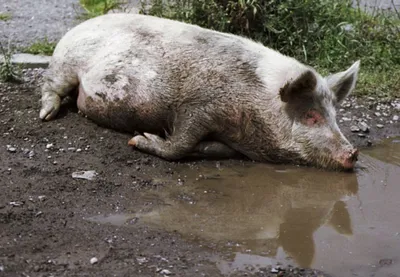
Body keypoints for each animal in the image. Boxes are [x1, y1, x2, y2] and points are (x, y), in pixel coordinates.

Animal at [39, 12, 360, 170]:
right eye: (310, 116)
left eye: (334, 116)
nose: (354, 152)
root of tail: (79, 27)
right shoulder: (198, 104)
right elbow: (180, 143)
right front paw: (139, 139)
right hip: (65, 63)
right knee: (51, 85)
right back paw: (46, 116)